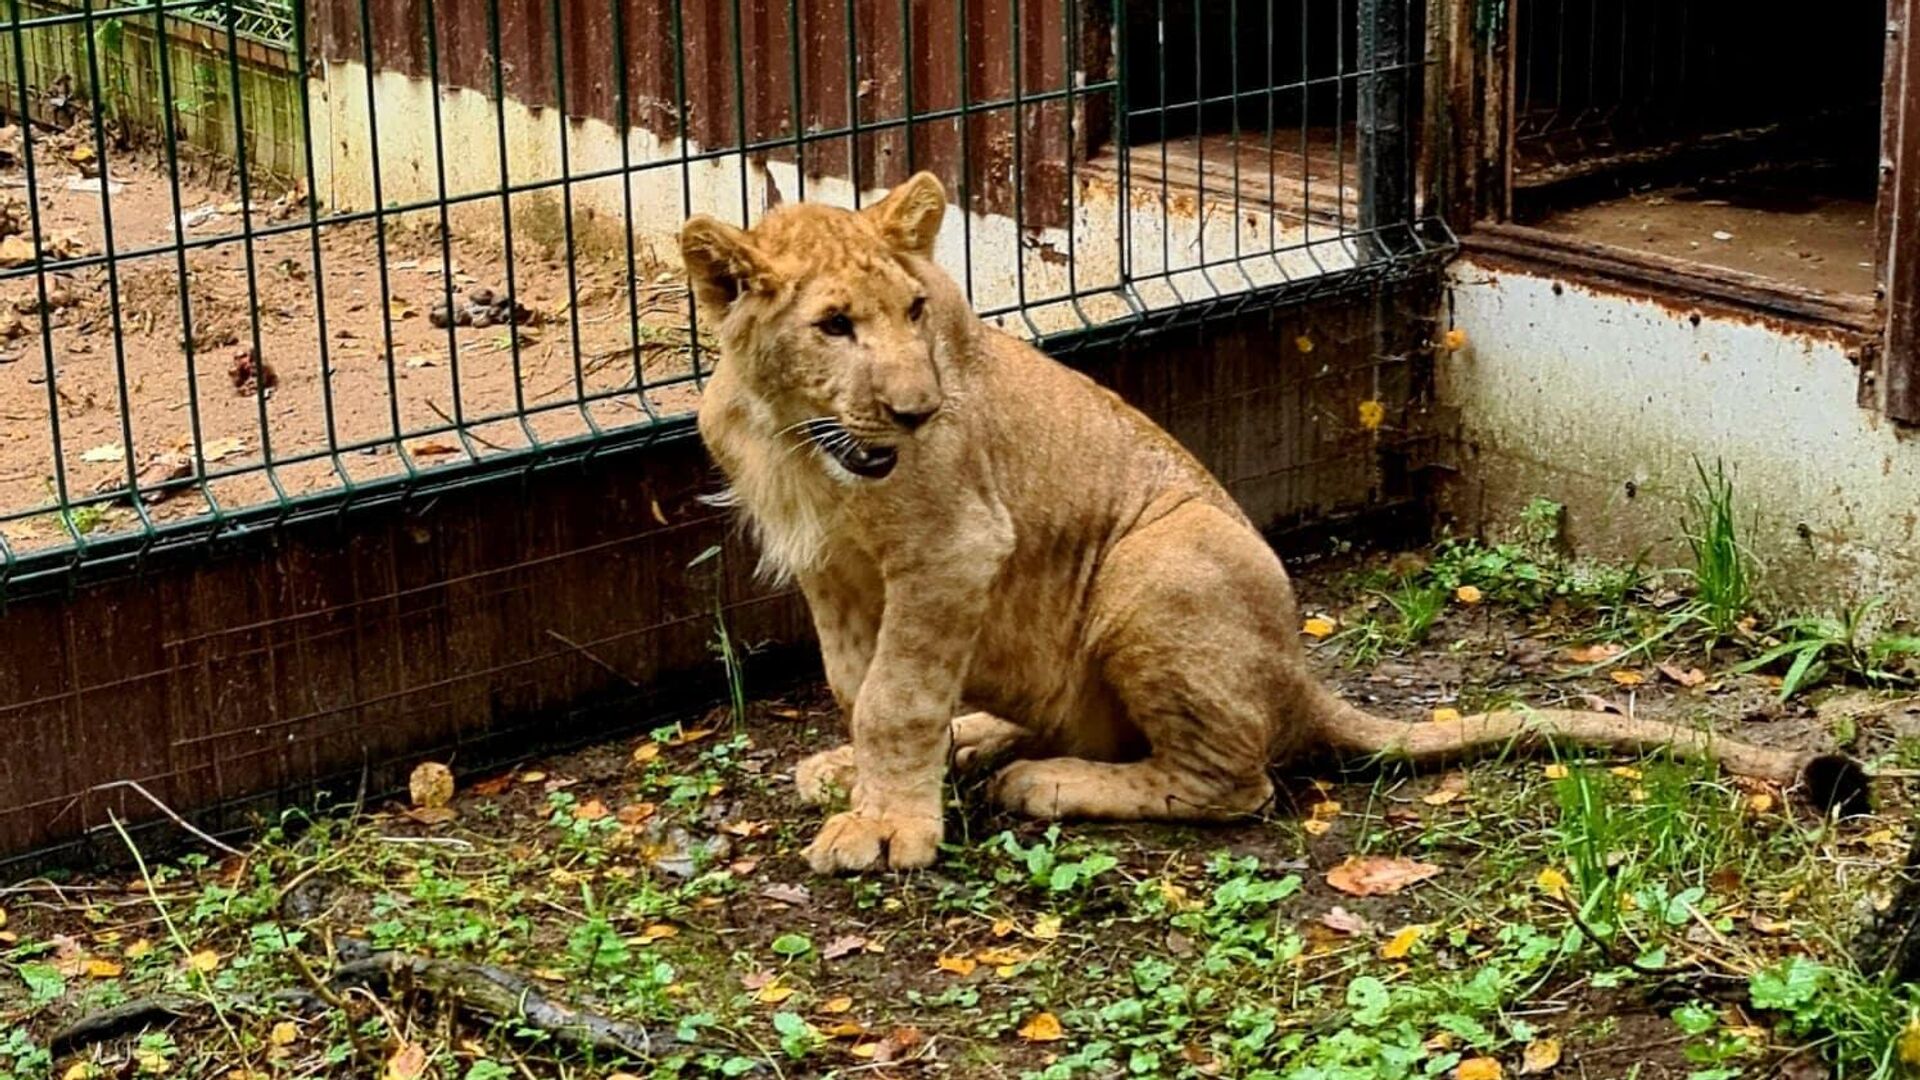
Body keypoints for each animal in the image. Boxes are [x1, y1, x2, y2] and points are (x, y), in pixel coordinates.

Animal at [675, 171, 1858, 868]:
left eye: (918, 311)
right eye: (835, 325)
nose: (919, 410)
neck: (804, 442)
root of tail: (1301, 675)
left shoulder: (957, 548)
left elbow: (896, 697)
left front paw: (890, 828)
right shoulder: (836, 571)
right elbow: (854, 682)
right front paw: (866, 780)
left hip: (1162, 562)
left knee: (1233, 780)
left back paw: (1046, 781)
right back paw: (986, 743)